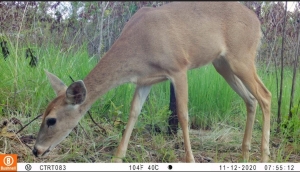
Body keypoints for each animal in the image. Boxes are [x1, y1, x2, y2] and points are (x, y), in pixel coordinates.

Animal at [32, 1, 272, 163]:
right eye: (42, 114)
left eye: (51, 120)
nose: (36, 150)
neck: (139, 44)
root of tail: (258, 23)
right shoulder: (144, 80)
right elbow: (133, 113)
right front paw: (118, 157)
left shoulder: (178, 67)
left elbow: (183, 114)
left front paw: (190, 159)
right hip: (222, 64)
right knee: (251, 99)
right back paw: (244, 154)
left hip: (241, 56)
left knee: (265, 95)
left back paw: (264, 155)